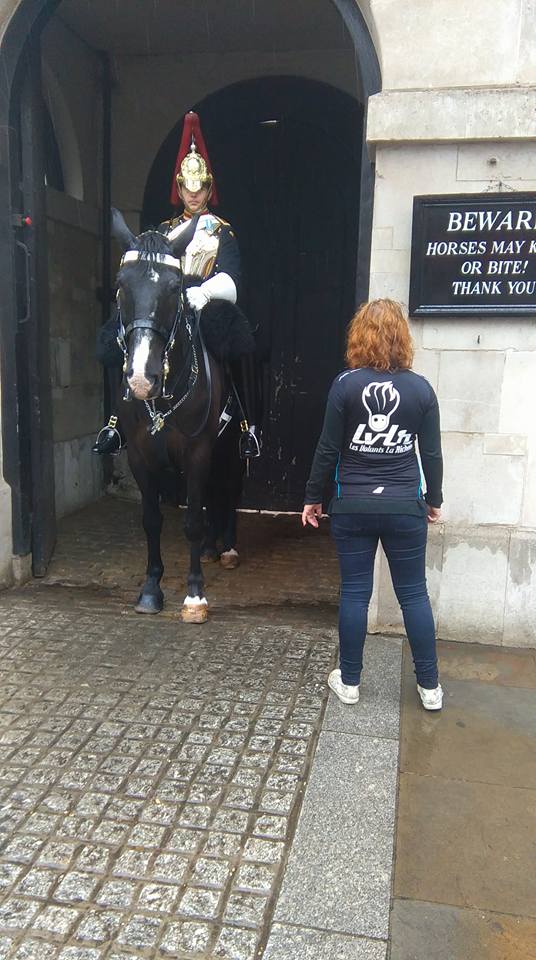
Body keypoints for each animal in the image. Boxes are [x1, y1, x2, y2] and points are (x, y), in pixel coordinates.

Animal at [111, 208, 224, 624]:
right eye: (121, 284)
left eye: (176, 288)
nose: (142, 379)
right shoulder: (140, 456)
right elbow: (151, 520)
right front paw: (150, 588)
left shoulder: (199, 453)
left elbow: (192, 521)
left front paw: (195, 594)